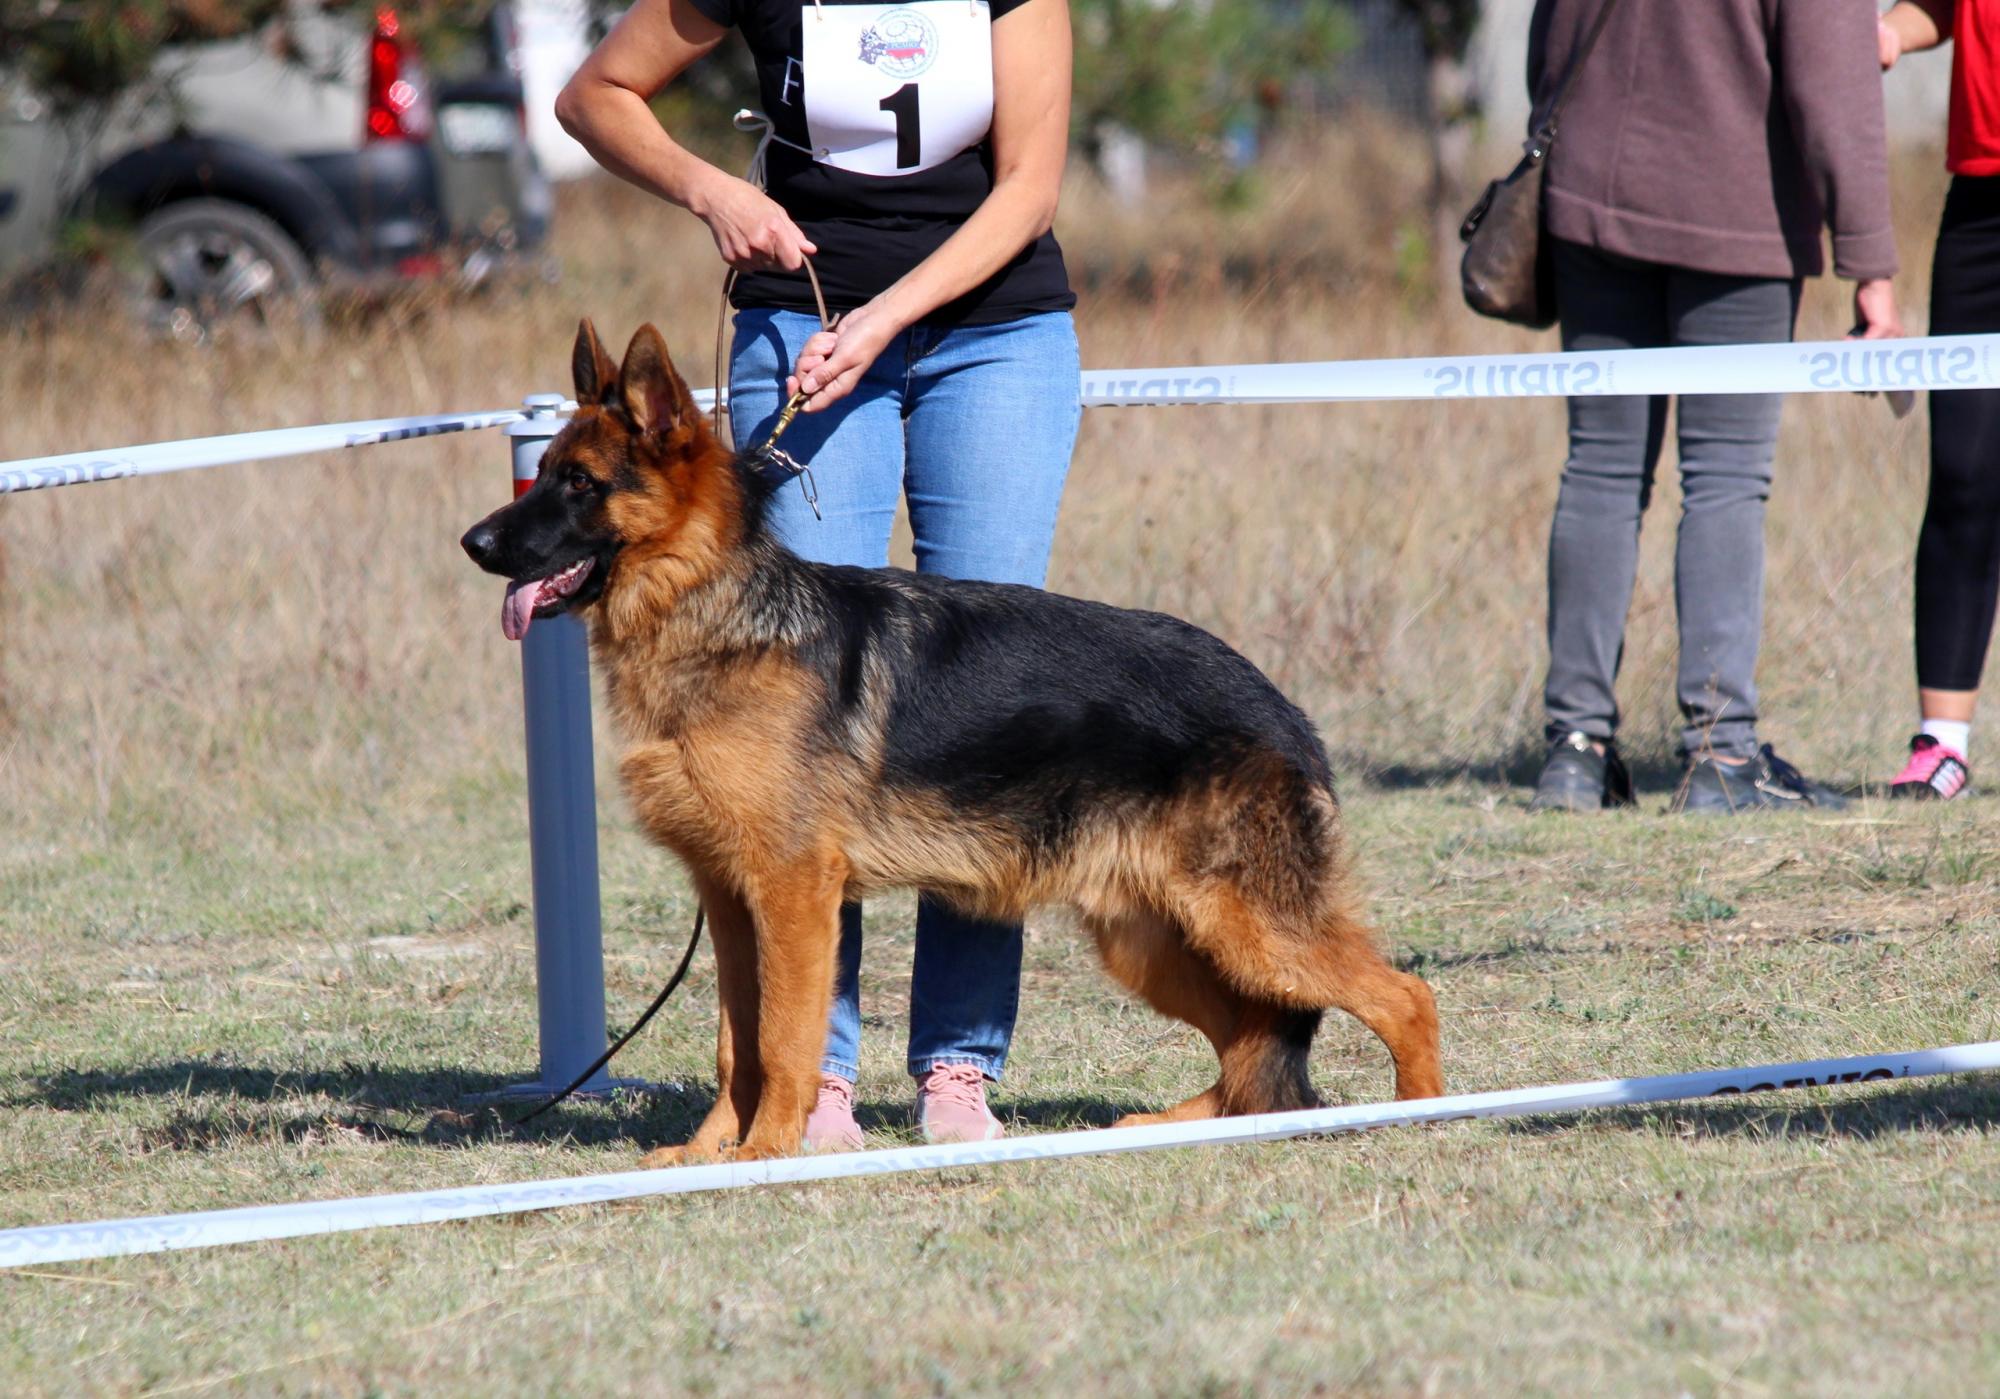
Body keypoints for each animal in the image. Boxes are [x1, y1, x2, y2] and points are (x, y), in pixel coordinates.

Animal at [461, 320, 1443, 1163]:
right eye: (543, 472)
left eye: (581, 483)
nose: (472, 541)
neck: (711, 608)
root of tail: (1284, 708)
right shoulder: (734, 903)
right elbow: (735, 1043)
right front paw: (710, 1155)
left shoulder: (792, 897)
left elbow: (781, 1039)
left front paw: (768, 1151)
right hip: (1150, 937)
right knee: (1253, 1037)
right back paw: (1179, 1122)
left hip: (1247, 925)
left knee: (1403, 996)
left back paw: (1425, 1113)